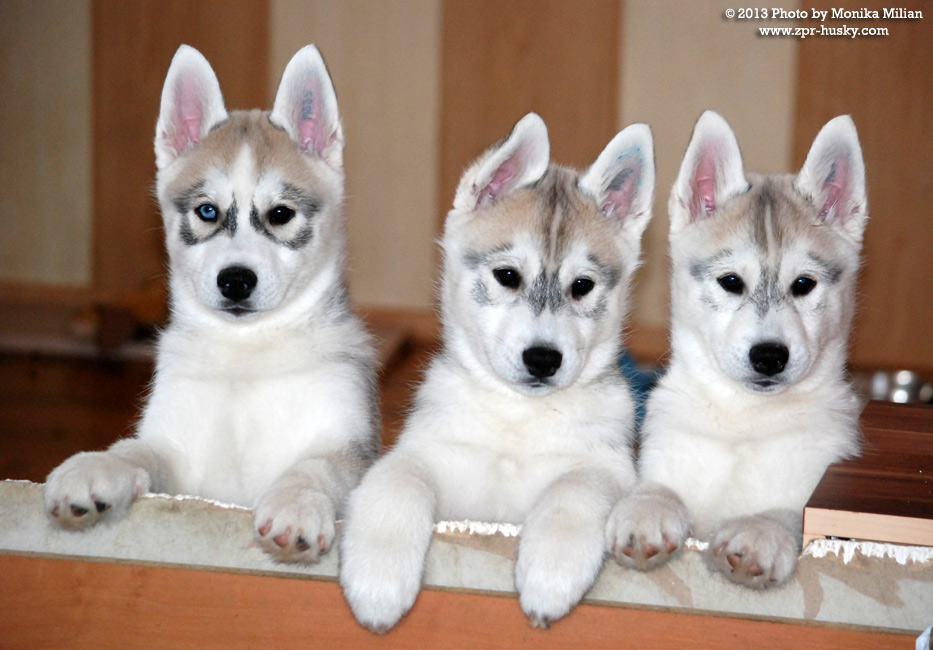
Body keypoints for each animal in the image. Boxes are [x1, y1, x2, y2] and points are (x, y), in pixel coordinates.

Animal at [43, 44, 378, 563]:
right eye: (207, 211)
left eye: (280, 214)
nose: (235, 281)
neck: (246, 354)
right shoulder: (178, 455)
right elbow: (134, 449)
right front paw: (94, 467)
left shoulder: (350, 445)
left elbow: (317, 466)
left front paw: (297, 502)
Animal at [339, 113, 654, 631]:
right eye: (507, 275)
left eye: (582, 286)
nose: (543, 359)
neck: (517, 420)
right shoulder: (427, 453)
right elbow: (396, 483)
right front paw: (378, 577)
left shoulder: (609, 467)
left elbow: (575, 490)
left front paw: (552, 571)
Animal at [605, 110, 866, 587]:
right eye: (731, 281)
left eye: (804, 284)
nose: (769, 356)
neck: (743, 421)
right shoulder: (666, 453)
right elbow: (658, 486)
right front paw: (646, 509)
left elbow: (789, 515)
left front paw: (760, 530)